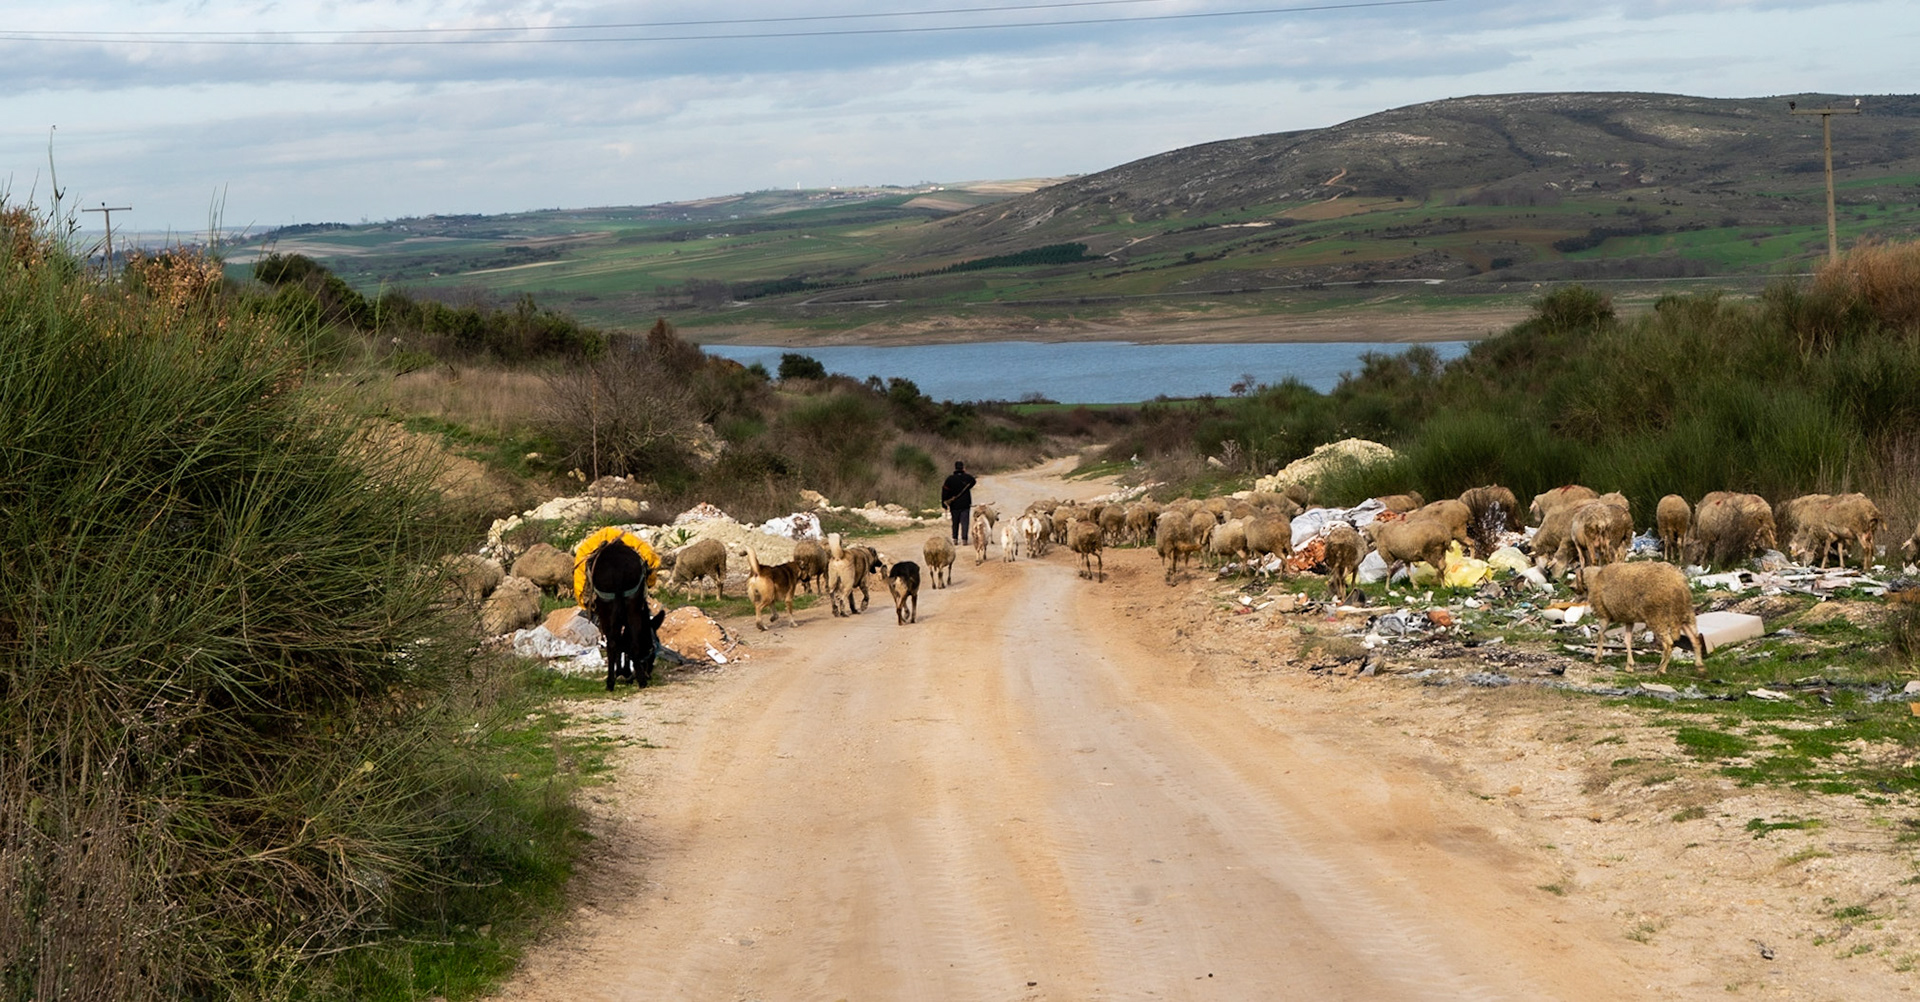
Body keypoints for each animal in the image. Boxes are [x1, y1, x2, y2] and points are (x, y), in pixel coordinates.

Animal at [1575, 561, 1704, 674]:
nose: (1573, 588)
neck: (1594, 578)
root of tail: (1679, 584)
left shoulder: (1604, 615)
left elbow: (1600, 634)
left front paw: (1597, 658)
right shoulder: (1629, 619)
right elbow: (1627, 641)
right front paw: (1629, 665)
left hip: (1658, 617)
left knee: (1668, 644)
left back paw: (1660, 670)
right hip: (1684, 614)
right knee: (1695, 639)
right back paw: (1700, 666)